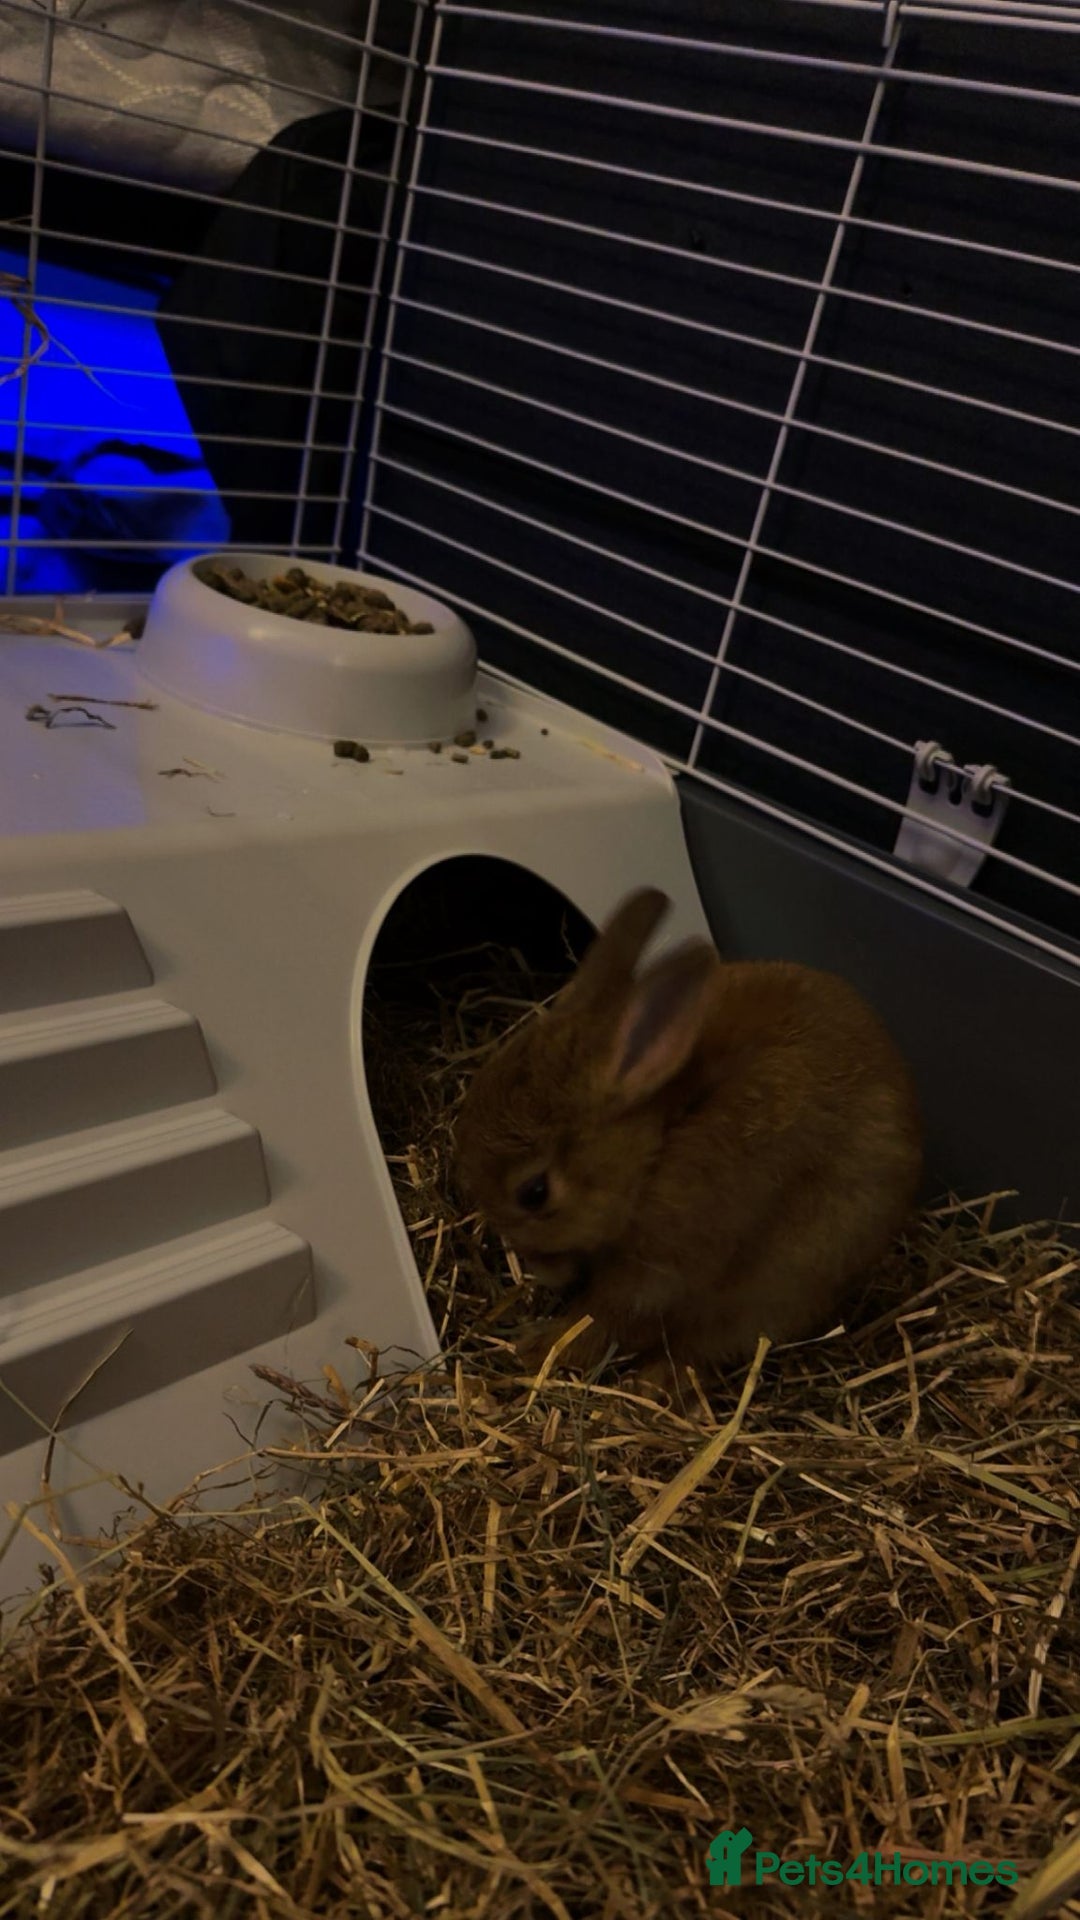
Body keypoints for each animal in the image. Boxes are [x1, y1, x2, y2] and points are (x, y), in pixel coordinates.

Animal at [453, 886, 922, 1388]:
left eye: (534, 1193)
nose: (539, 1268)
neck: (655, 1147)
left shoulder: (662, 1267)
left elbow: (605, 1315)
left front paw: (540, 1349)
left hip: (780, 1292)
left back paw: (652, 1383)